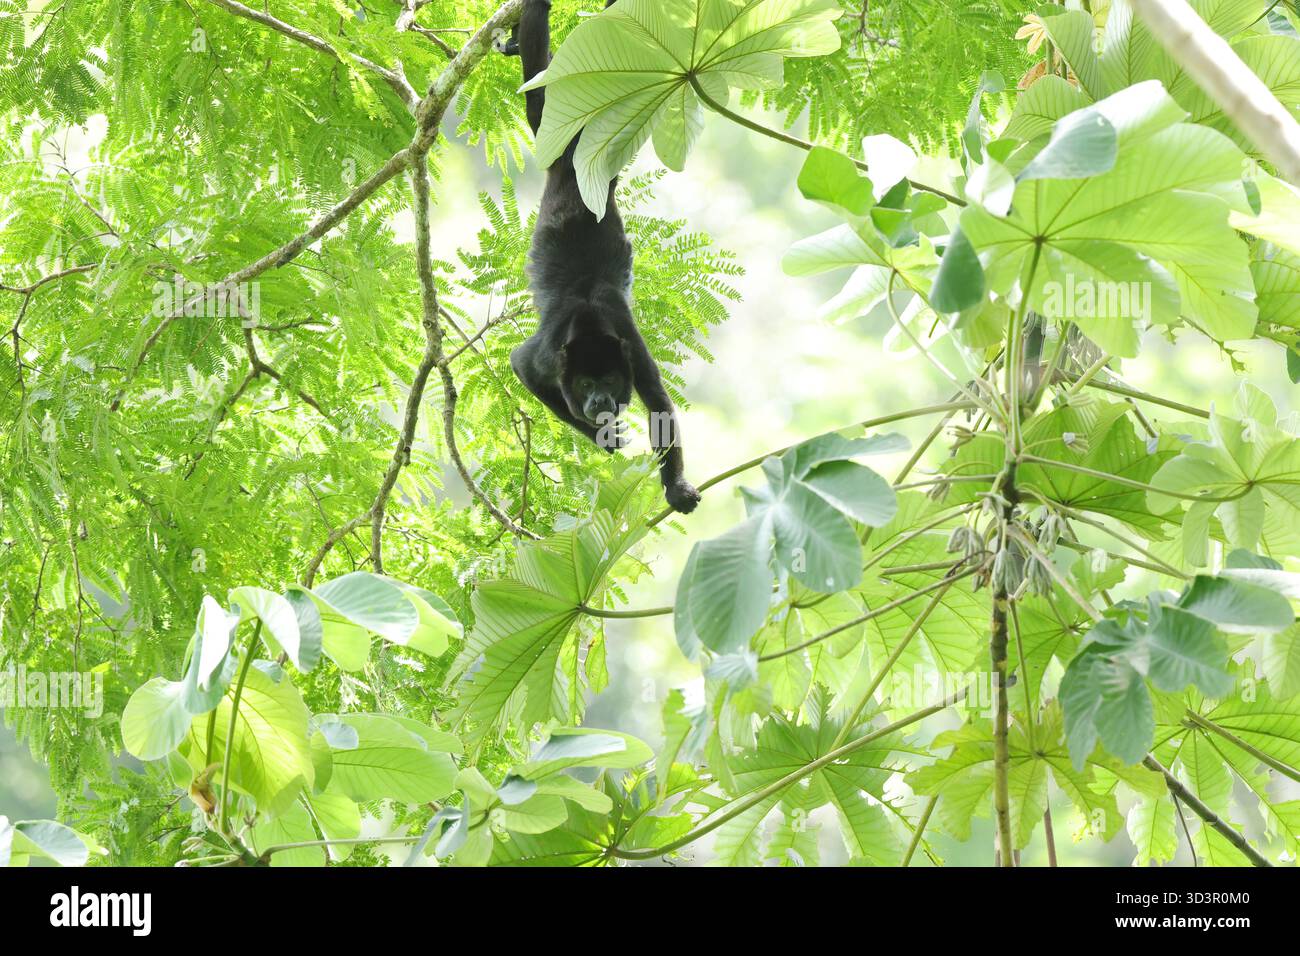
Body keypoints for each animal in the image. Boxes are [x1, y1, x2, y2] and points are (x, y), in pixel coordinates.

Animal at [500, 0, 701, 515]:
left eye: (608, 383)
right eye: (586, 387)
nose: (598, 405)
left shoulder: (630, 347)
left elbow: (659, 403)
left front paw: (676, 486)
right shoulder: (547, 356)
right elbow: (522, 365)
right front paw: (602, 438)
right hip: (552, 135)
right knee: (538, 98)